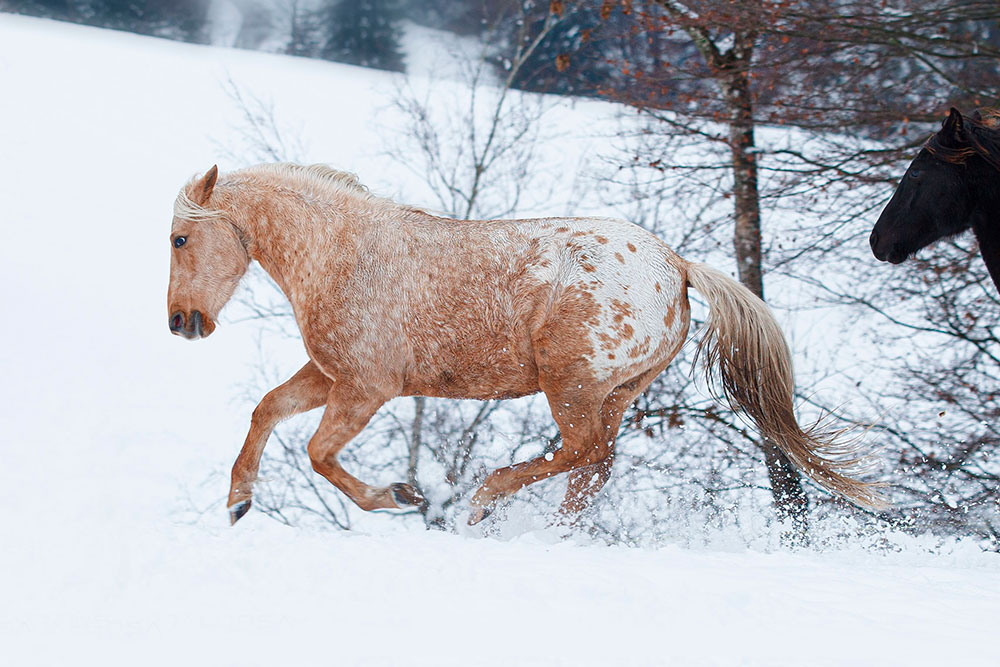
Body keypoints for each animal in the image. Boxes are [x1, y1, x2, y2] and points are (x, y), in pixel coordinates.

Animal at [170, 163, 884, 528]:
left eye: (179, 239)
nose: (181, 322)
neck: (344, 255)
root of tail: (677, 266)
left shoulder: (367, 387)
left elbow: (319, 453)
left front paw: (401, 497)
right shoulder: (331, 376)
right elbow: (267, 409)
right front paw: (238, 502)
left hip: (572, 386)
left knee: (582, 453)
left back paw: (486, 500)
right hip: (617, 393)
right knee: (594, 467)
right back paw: (550, 534)